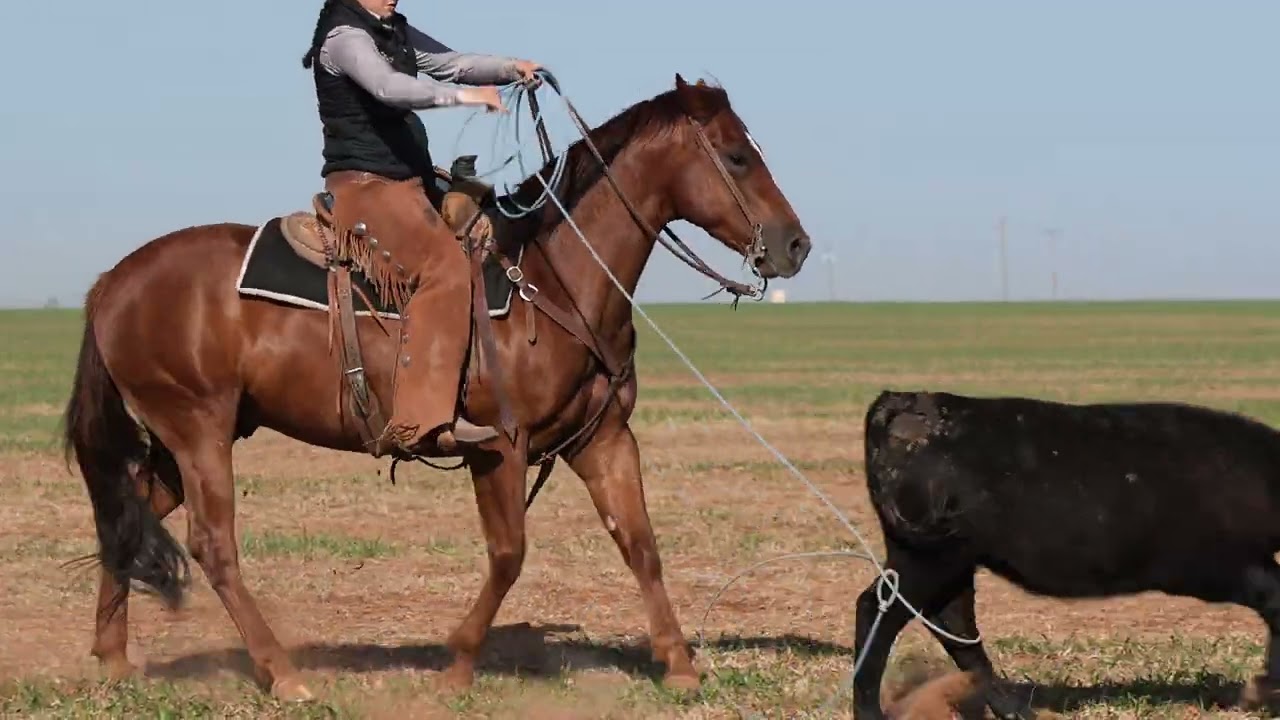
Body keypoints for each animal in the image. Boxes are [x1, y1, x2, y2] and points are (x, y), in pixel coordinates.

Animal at [61, 74, 813, 701]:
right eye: (736, 156)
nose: (796, 245)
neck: (553, 276)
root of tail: (112, 282)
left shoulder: (602, 440)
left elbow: (640, 544)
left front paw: (679, 664)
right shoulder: (499, 447)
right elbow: (509, 556)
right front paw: (457, 662)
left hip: (185, 438)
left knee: (127, 513)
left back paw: (114, 655)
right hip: (199, 431)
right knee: (213, 545)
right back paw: (281, 673)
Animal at [852, 389, 1280, 720]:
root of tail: (908, 400)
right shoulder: (1214, 568)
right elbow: (1275, 599)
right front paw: (1264, 690)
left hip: (950, 562)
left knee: (956, 628)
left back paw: (1016, 711)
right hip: (928, 557)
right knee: (879, 609)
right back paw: (869, 712)